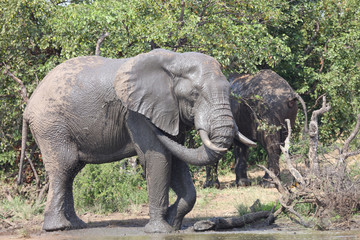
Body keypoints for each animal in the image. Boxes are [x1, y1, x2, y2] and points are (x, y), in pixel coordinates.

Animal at [20, 48, 256, 232]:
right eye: (195, 95)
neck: (175, 61)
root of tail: (29, 105)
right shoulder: (136, 114)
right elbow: (158, 156)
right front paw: (160, 230)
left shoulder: (169, 110)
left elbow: (177, 160)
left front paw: (173, 223)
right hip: (51, 125)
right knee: (65, 165)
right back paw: (58, 228)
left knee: (73, 169)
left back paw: (76, 226)